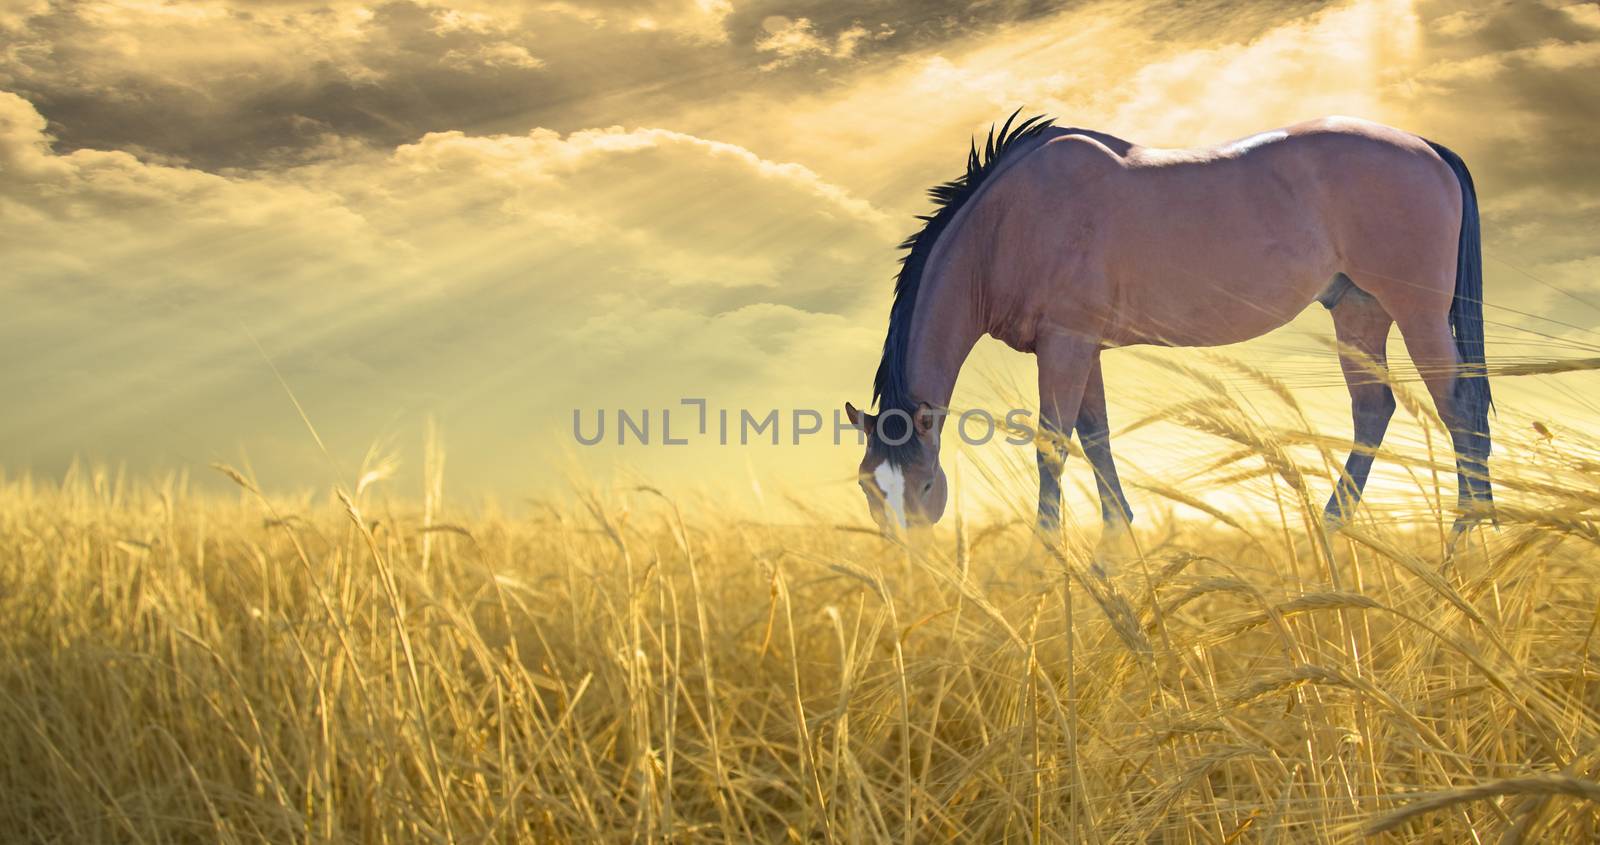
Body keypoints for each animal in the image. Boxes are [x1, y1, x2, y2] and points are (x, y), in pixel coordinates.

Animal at [844, 112, 1491, 544]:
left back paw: (1468, 541)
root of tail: (1427, 147)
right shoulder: (1083, 348)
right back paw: (1333, 529)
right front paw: (1116, 542)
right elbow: (1096, 438)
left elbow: (1053, 446)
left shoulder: (1065, 344)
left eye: (926, 486)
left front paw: (1049, 554)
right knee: (1373, 409)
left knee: (1458, 407)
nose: (912, 569)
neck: (1009, 222)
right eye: (868, 485)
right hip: (1358, 308)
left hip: (1417, 309)